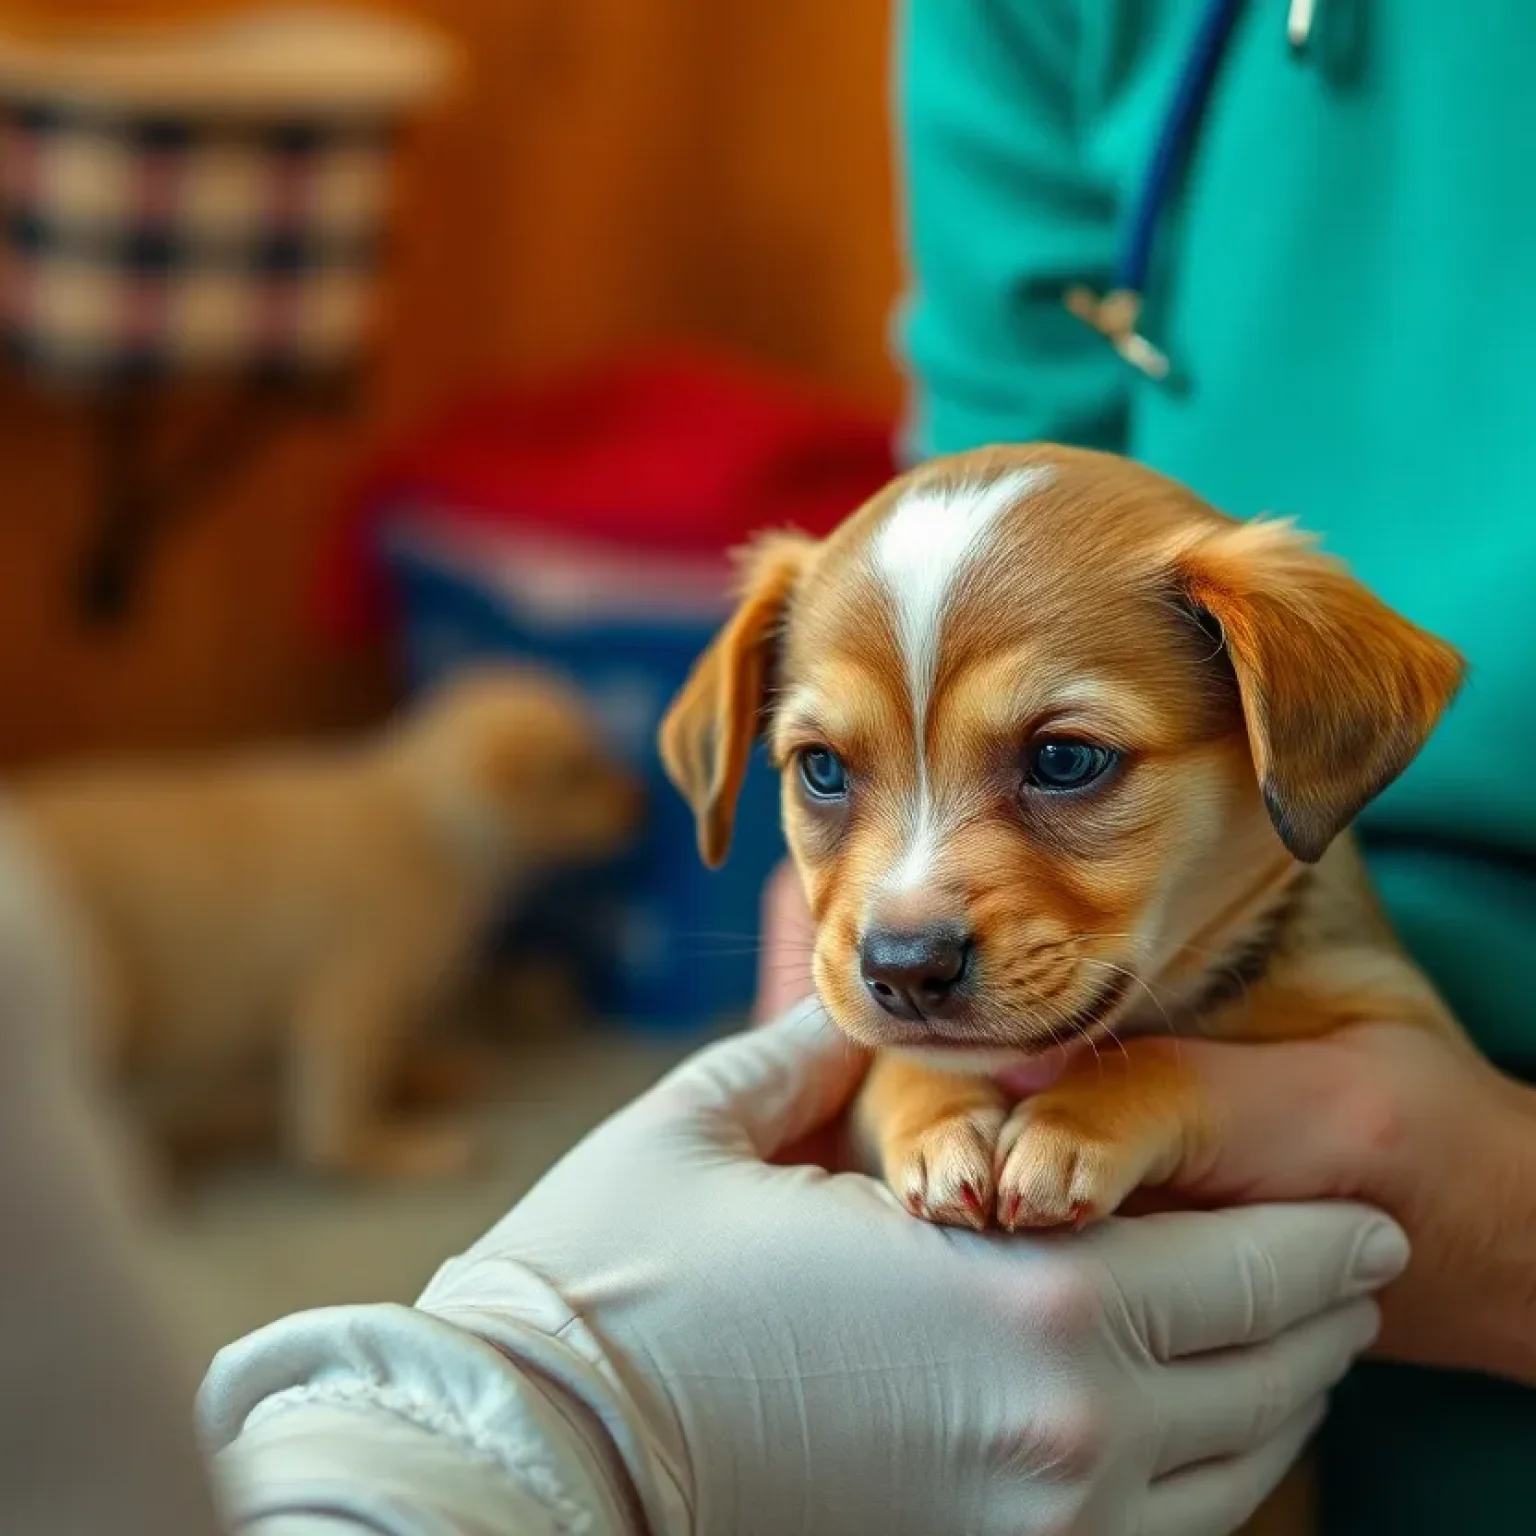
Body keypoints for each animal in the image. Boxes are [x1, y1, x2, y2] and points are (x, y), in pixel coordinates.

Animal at [13, 666, 635, 1179]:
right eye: (576, 773)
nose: (642, 806)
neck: (425, 819)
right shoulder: (353, 994)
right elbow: (336, 1119)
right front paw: (399, 1149)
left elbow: (390, 1055)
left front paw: (424, 1076)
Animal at [657, 442, 1462, 1523]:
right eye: (820, 769)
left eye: (1065, 758)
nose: (903, 969)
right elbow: (894, 1065)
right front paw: (938, 1119)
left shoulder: (1401, 1029)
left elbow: (1165, 1058)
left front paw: (1073, 1126)